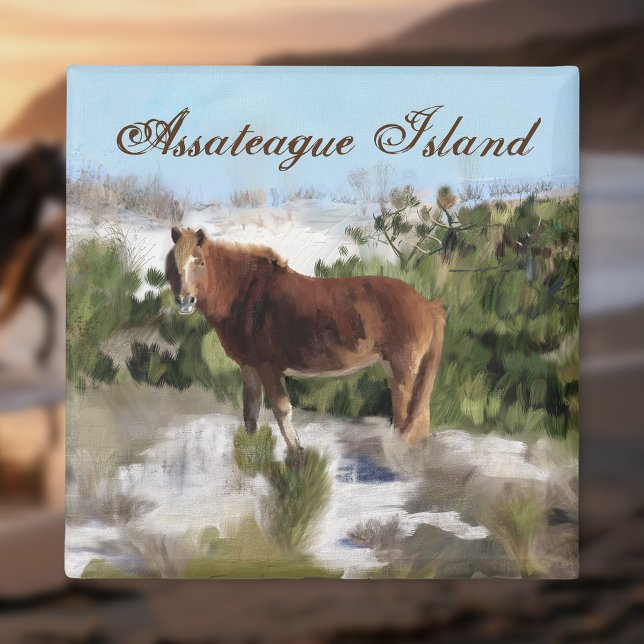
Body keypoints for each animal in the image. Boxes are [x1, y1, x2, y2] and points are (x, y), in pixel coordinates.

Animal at [165, 226, 445, 450]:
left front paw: (296, 455)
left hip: (404, 369)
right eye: (172, 263)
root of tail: (427, 304)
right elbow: (251, 414)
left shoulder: (268, 367)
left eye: (199, 261)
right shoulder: (249, 367)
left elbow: (282, 411)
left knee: (412, 419)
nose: (184, 301)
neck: (245, 294)